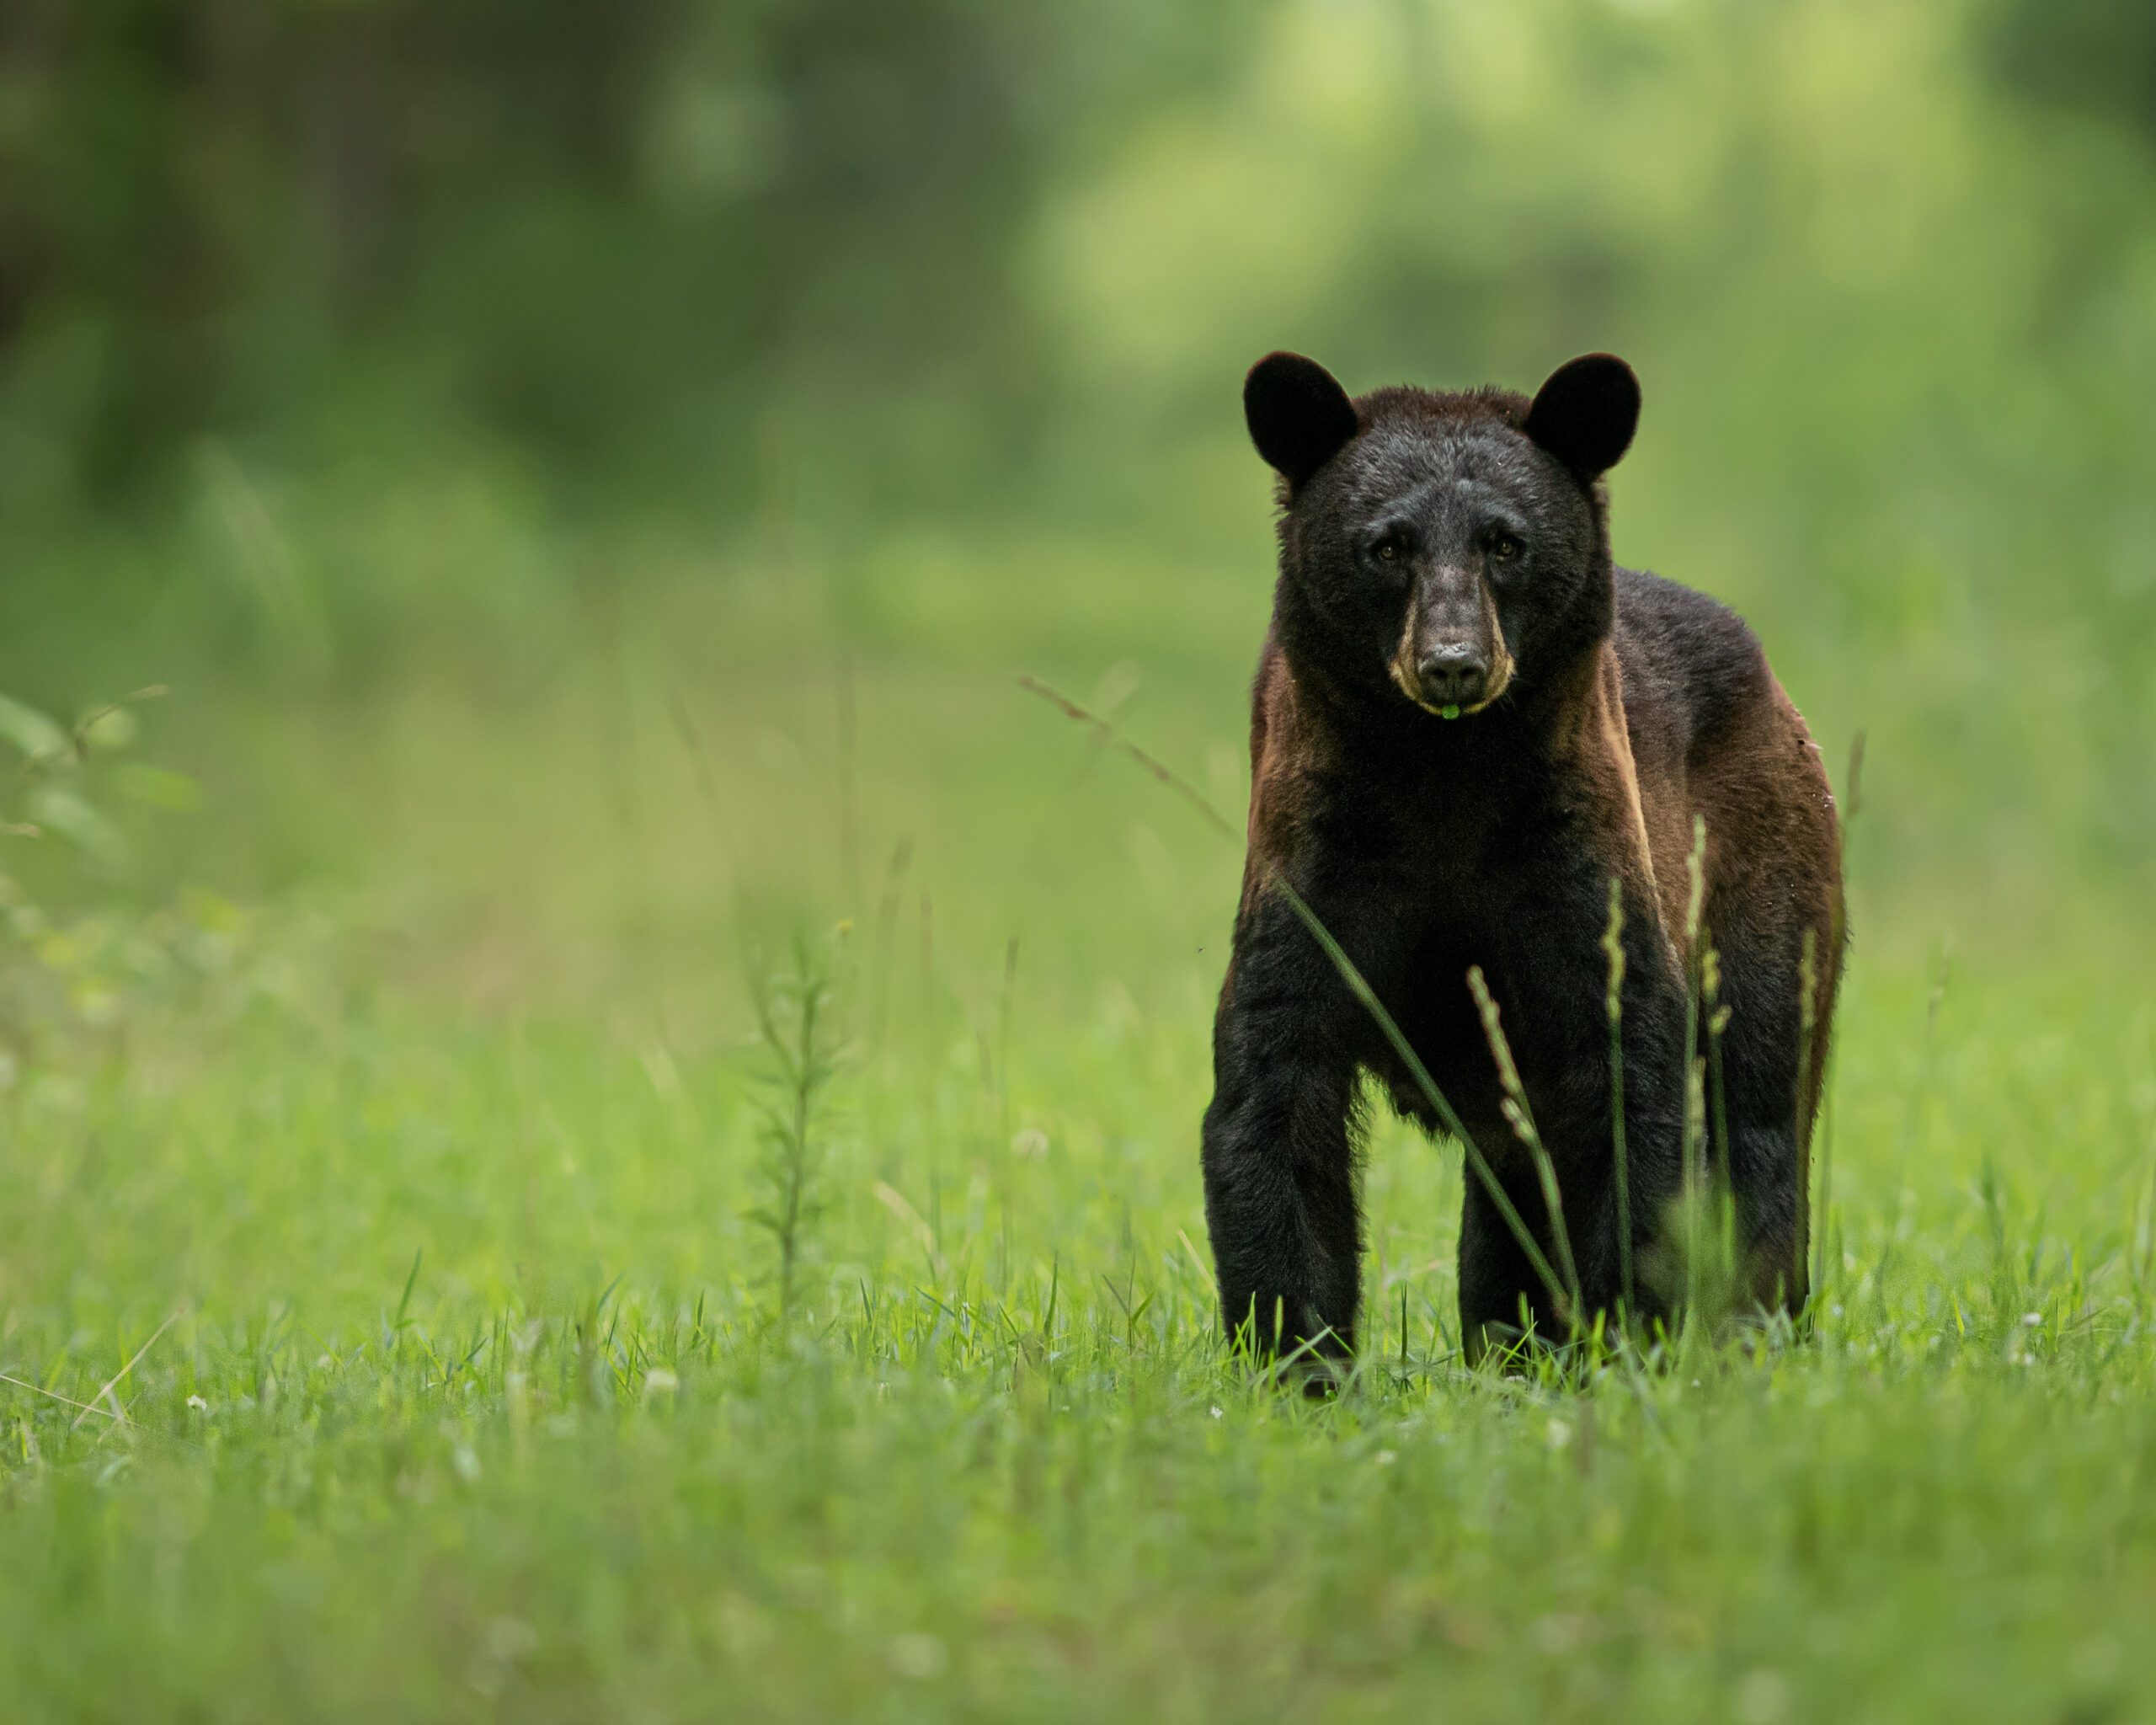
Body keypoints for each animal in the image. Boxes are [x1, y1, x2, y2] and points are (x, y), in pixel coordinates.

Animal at [1207, 349, 1845, 1371]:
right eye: (1386, 546)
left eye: (1506, 542)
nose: (1453, 663)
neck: (1446, 779)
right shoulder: (1317, 860)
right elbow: (1276, 1085)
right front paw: (1296, 1360)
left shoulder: (1575, 861)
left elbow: (1627, 1072)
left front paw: (1627, 1338)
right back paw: (1511, 1344)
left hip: (1765, 865)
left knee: (1760, 1097)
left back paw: (1752, 1329)